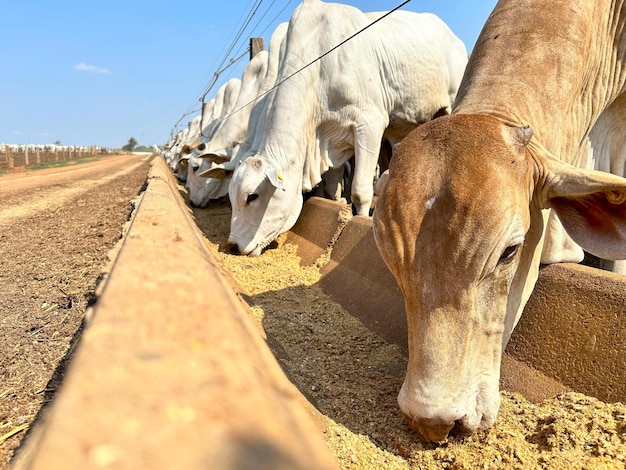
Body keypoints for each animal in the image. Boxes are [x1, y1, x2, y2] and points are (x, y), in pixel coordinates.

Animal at [227, 0, 466, 255]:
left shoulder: (369, 124)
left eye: (252, 196)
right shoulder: (331, 140)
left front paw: (361, 218)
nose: (233, 245)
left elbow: (360, 191)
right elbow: (333, 187)